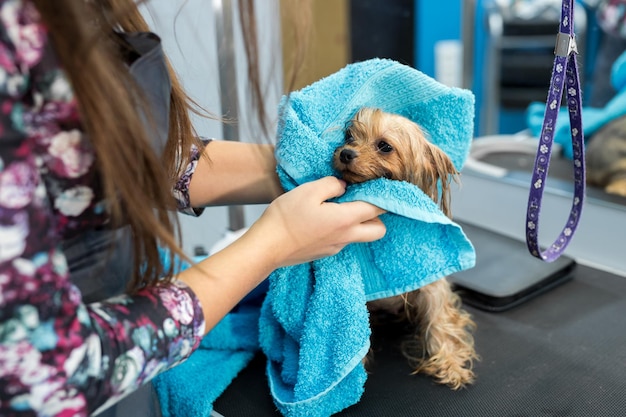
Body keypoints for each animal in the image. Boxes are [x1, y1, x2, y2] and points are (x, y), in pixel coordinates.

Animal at [334, 106, 476, 386]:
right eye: (349, 137)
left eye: (384, 146)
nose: (345, 153)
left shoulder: (432, 284)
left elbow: (439, 321)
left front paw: (451, 364)